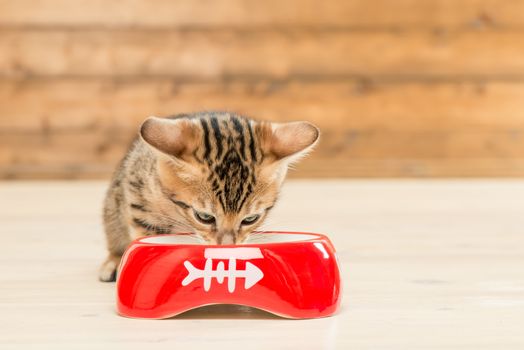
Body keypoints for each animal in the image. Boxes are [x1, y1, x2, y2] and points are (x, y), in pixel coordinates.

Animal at [99, 112, 320, 282]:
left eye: (250, 219)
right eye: (204, 217)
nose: (227, 247)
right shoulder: (138, 195)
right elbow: (147, 237)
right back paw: (114, 261)